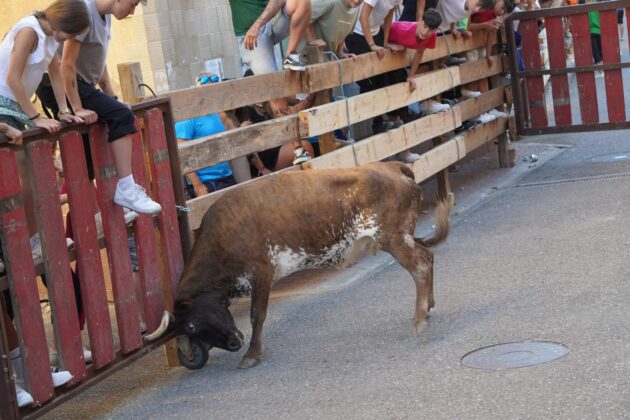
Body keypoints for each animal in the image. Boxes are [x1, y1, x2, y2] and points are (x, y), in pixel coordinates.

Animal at [144, 161, 450, 368]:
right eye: (191, 328)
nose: (233, 343)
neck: (224, 234)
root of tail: (391, 166)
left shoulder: (260, 272)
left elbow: (257, 315)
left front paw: (252, 354)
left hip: (393, 238)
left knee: (420, 267)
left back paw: (420, 319)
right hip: (402, 237)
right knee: (428, 257)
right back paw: (430, 305)